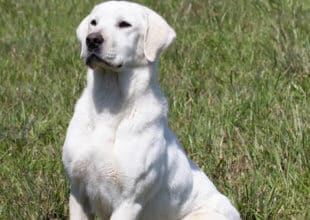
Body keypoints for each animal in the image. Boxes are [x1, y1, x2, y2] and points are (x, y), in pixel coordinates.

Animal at [62, 0, 240, 219]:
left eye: (124, 24)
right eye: (93, 22)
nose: (92, 40)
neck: (109, 102)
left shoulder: (129, 201)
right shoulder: (78, 191)